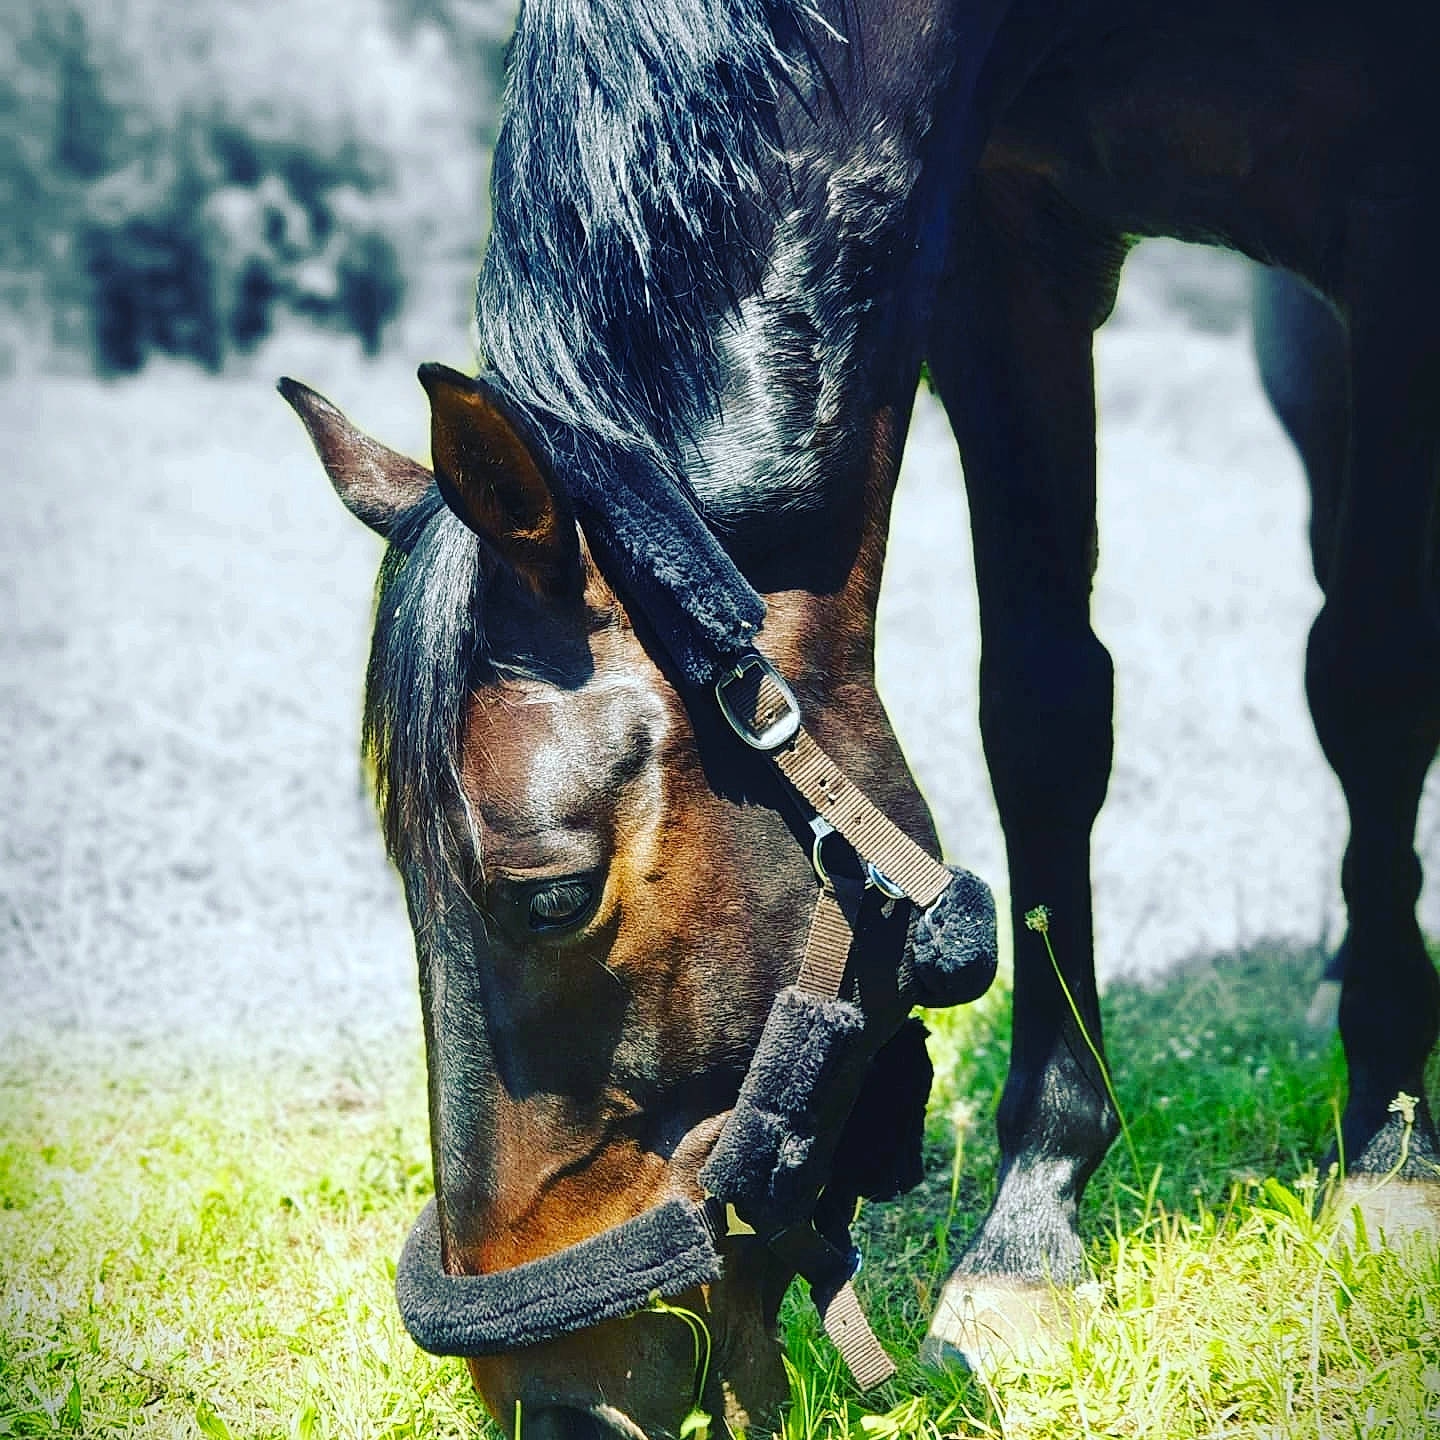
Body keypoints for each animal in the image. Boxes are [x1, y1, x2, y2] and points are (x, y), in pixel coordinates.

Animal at [281, 0, 1440, 1434]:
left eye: (549, 895)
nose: (549, 1403)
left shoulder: (1396, 234)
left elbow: (1372, 682)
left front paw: (1391, 1137)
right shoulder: (1008, 248)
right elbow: (1046, 716)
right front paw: (1030, 1229)